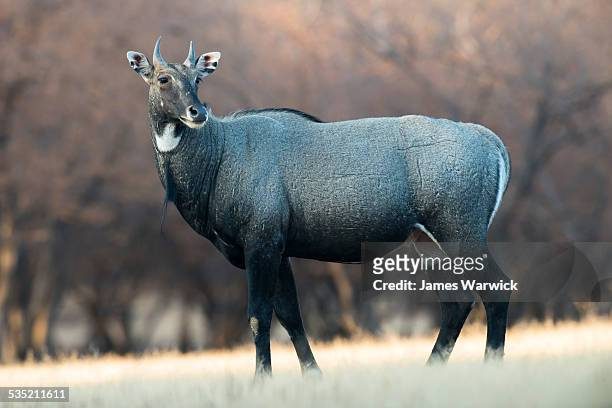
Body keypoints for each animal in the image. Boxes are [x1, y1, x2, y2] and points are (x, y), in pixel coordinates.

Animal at [125, 38, 512, 376]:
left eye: (198, 79)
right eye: (163, 79)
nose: (197, 112)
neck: (218, 153)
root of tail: (489, 140)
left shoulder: (261, 243)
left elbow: (259, 315)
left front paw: (261, 380)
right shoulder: (278, 249)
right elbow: (290, 316)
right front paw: (313, 375)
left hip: (462, 232)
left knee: (496, 290)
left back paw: (490, 367)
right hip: (430, 243)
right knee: (457, 301)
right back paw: (431, 368)